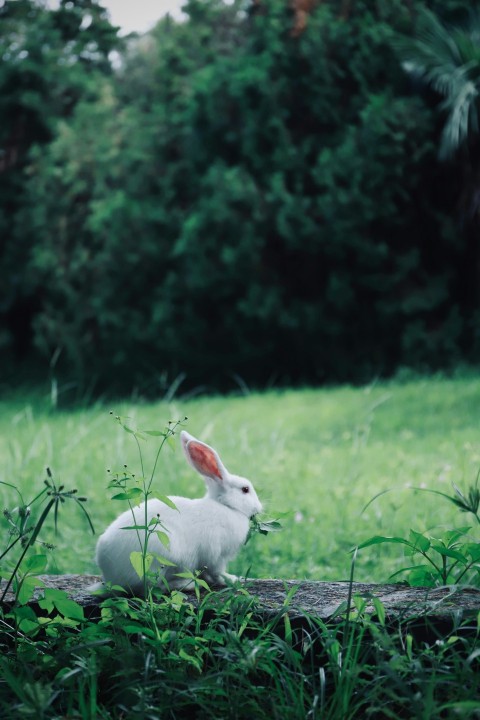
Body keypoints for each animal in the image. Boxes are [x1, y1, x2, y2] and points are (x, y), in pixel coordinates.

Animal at [94, 430, 262, 592]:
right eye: (245, 489)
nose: (259, 508)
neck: (227, 506)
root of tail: (110, 578)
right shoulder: (217, 556)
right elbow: (217, 572)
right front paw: (232, 580)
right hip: (164, 558)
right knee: (154, 587)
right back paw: (187, 584)